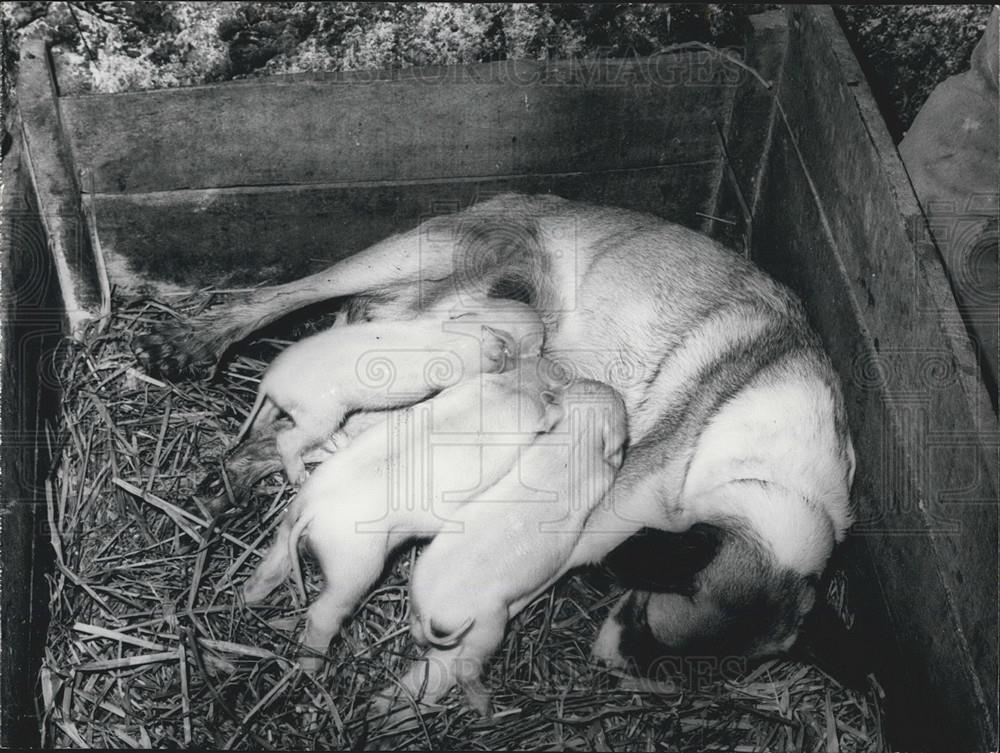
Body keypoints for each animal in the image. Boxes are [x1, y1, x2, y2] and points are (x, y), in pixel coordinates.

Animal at [137, 192, 856, 676]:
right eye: (642, 614)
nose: (610, 666)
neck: (777, 480)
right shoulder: (601, 518)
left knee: (303, 428)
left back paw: (233, 479)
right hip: (405, 259)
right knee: (280, 297)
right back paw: (192, 342)